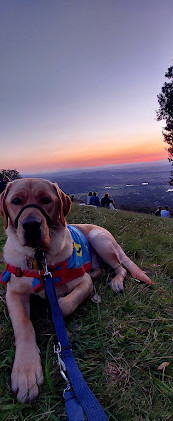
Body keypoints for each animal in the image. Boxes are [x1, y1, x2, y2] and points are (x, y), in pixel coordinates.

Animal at [0, 176, 151, 400]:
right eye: (16, 201)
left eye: (46, 200)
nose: (31, 225)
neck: (39, 259)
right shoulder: (13, 293)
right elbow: (24, 325)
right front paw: (26, 371)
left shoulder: (82, 281)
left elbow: (65, 304)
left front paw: (55, 308)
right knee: (100, 270)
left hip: (100, 240)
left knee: (120, 268)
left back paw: (115, 282)